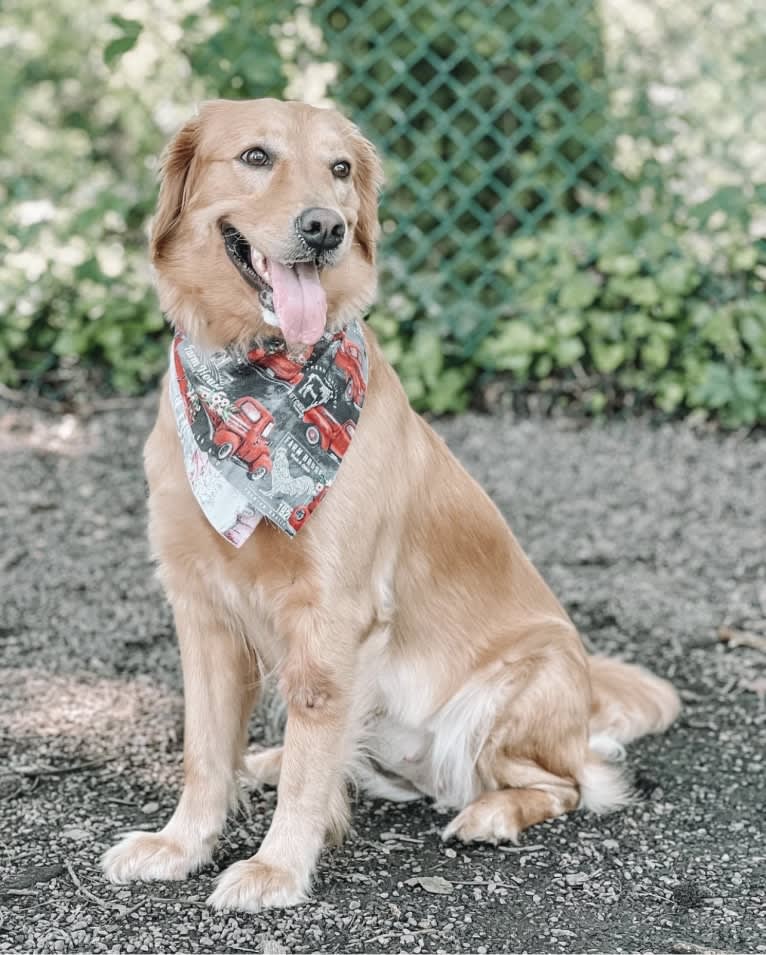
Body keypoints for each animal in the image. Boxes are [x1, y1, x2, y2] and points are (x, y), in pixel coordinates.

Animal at [102, 99, 684, 912]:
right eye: (256, 156)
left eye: (340, 169)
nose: (325, 227)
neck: (258, 369)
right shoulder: (200, 604)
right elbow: (205, 749)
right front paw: (180, 844)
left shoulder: (334, 608)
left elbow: (313, 752)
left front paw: (278, 867)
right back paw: (272, 759)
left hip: (507, 694)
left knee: (568, 782)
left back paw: (490, 814)